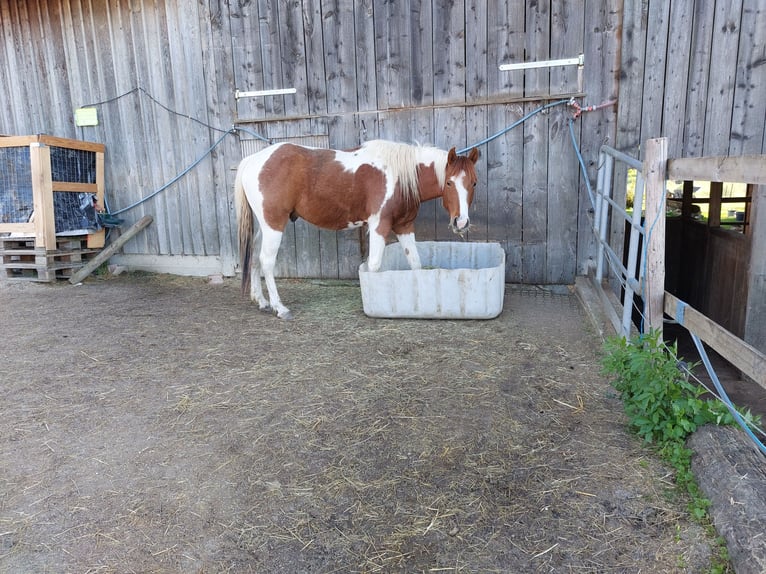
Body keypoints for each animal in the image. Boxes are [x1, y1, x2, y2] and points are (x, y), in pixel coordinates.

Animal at [235, 139, 481, 319]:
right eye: (449, 182)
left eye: (473, 183)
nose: (461, 222)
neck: (399, 176)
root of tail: (253, 160)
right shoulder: (380, 226)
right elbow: (374, 266)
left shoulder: (404, 226)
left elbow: (415, 263)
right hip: (274, 225)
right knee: (267, 262)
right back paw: (280, 308)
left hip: (264, 226)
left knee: (255, 256)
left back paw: (262, 302)